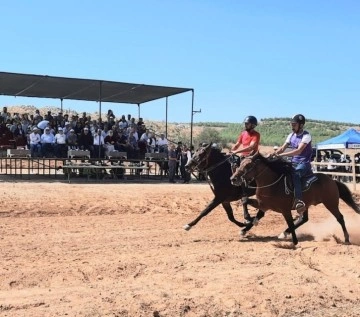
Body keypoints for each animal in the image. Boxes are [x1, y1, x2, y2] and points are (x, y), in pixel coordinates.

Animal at [231, 152, 360, 246]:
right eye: (240, 164)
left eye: (248, 165)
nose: (233, 178)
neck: (272, 184)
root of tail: (332, 180)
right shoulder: (263, 205)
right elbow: (245, 201)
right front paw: (245, 227)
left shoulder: (285, 209)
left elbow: (290, 221)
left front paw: (295, 242)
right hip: (306, 205)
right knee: (304, 219)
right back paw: (284, 233)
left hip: (331, 203)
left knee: (340, 218)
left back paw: (346, 239)